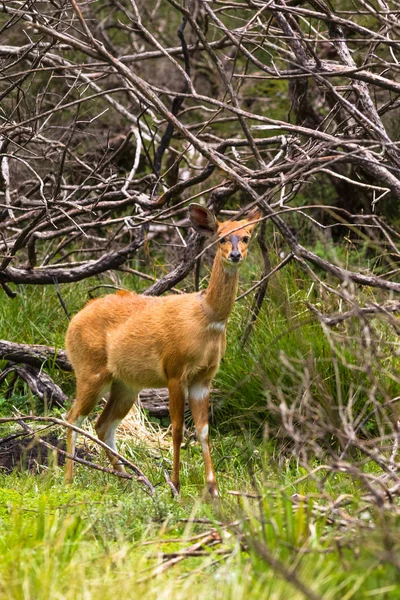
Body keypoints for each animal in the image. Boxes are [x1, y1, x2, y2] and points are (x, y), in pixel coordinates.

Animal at [65, 204, 262, 494]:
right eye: (221, 237)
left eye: (246, 237)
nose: (235, 254)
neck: (206, 317)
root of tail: (72, 323)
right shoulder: (175, 370)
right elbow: (178, 428)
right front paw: (176, 485)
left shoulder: (204, 377)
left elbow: (203, 430)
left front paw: (213, 488)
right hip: (90, 370)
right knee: (73, 418)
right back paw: (68, 478)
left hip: (126, 383)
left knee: (103, 424)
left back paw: (128, 478)